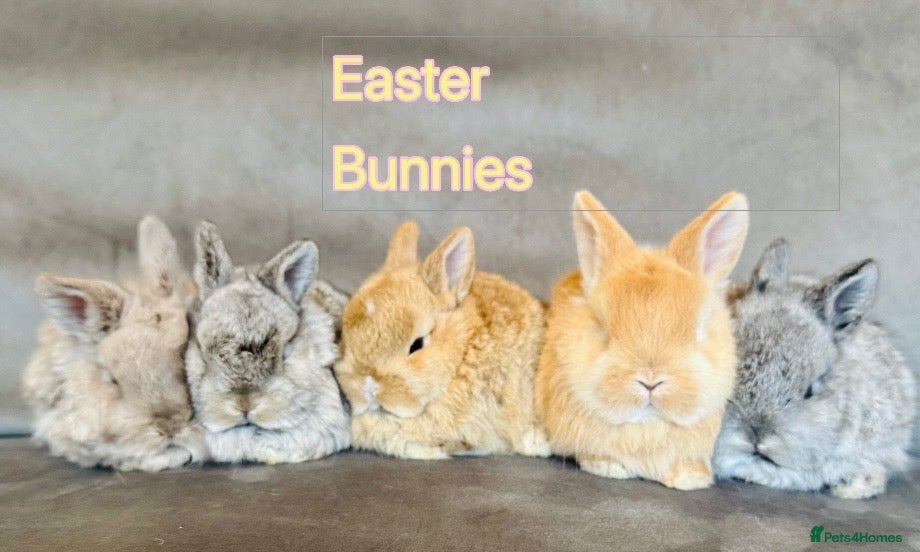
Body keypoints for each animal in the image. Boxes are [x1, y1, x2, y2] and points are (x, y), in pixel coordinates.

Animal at [536, 190, 749, 490]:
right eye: (602, 328)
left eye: (698, 332)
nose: (650, 381)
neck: (647, 428)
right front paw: (609, 467)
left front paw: (691, 478)